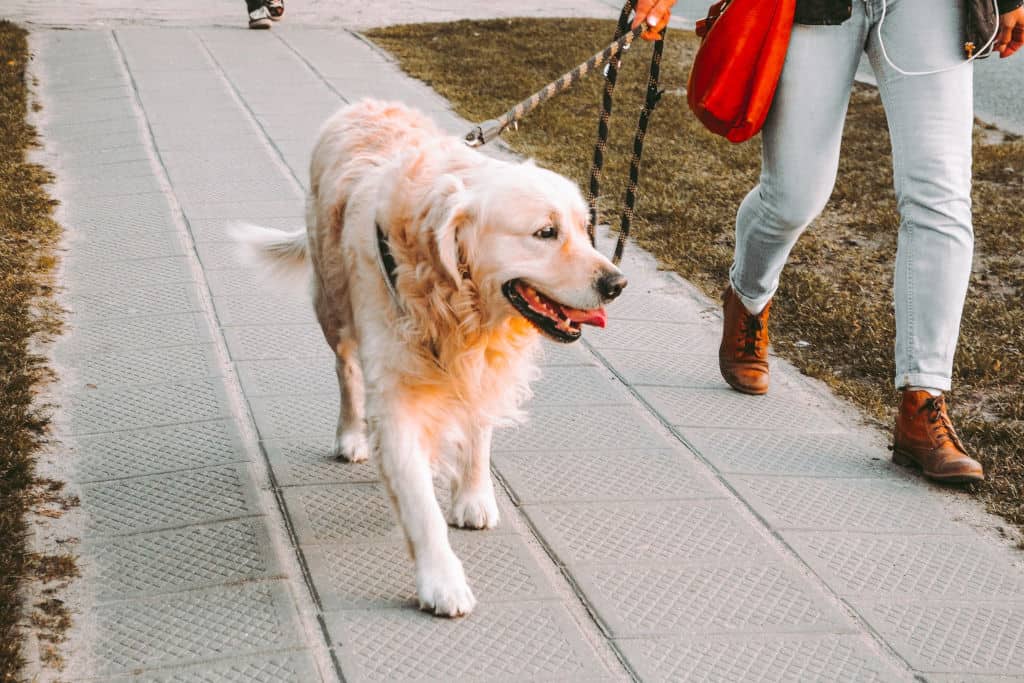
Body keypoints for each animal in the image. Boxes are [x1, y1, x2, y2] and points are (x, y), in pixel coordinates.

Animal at [235, 98, 626, 618]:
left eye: (586, 229)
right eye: (545, 232)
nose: (617, 283)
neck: (456, 303)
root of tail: (363, 104)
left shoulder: (482, 368)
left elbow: (478, 432)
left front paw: (473, 496)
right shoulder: (396, 400)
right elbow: (421, 506)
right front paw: (442, 581)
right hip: (332, 305)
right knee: (346, 370)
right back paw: (350, 435)